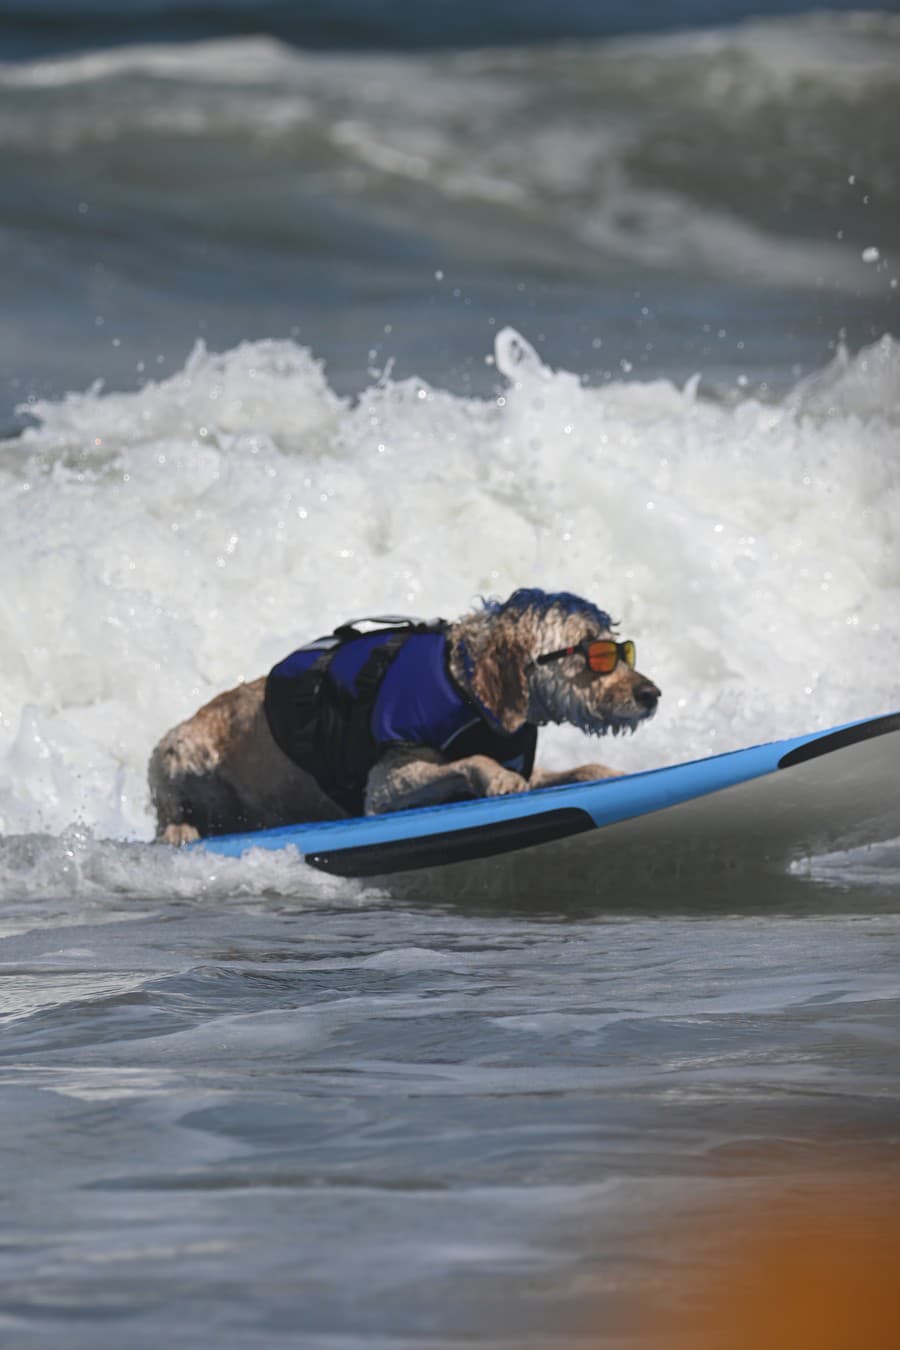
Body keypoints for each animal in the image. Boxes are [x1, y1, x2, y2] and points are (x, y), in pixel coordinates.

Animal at [149, 591, 661, 842]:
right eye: (592, 652)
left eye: (621, 650)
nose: (652, 694)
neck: (467, 689)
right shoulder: (384, 788)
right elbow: (468, 762)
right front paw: (495, 777)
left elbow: (581, 769)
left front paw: (608, 771)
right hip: (181, 748)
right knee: (168, 810)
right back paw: (180, 830)